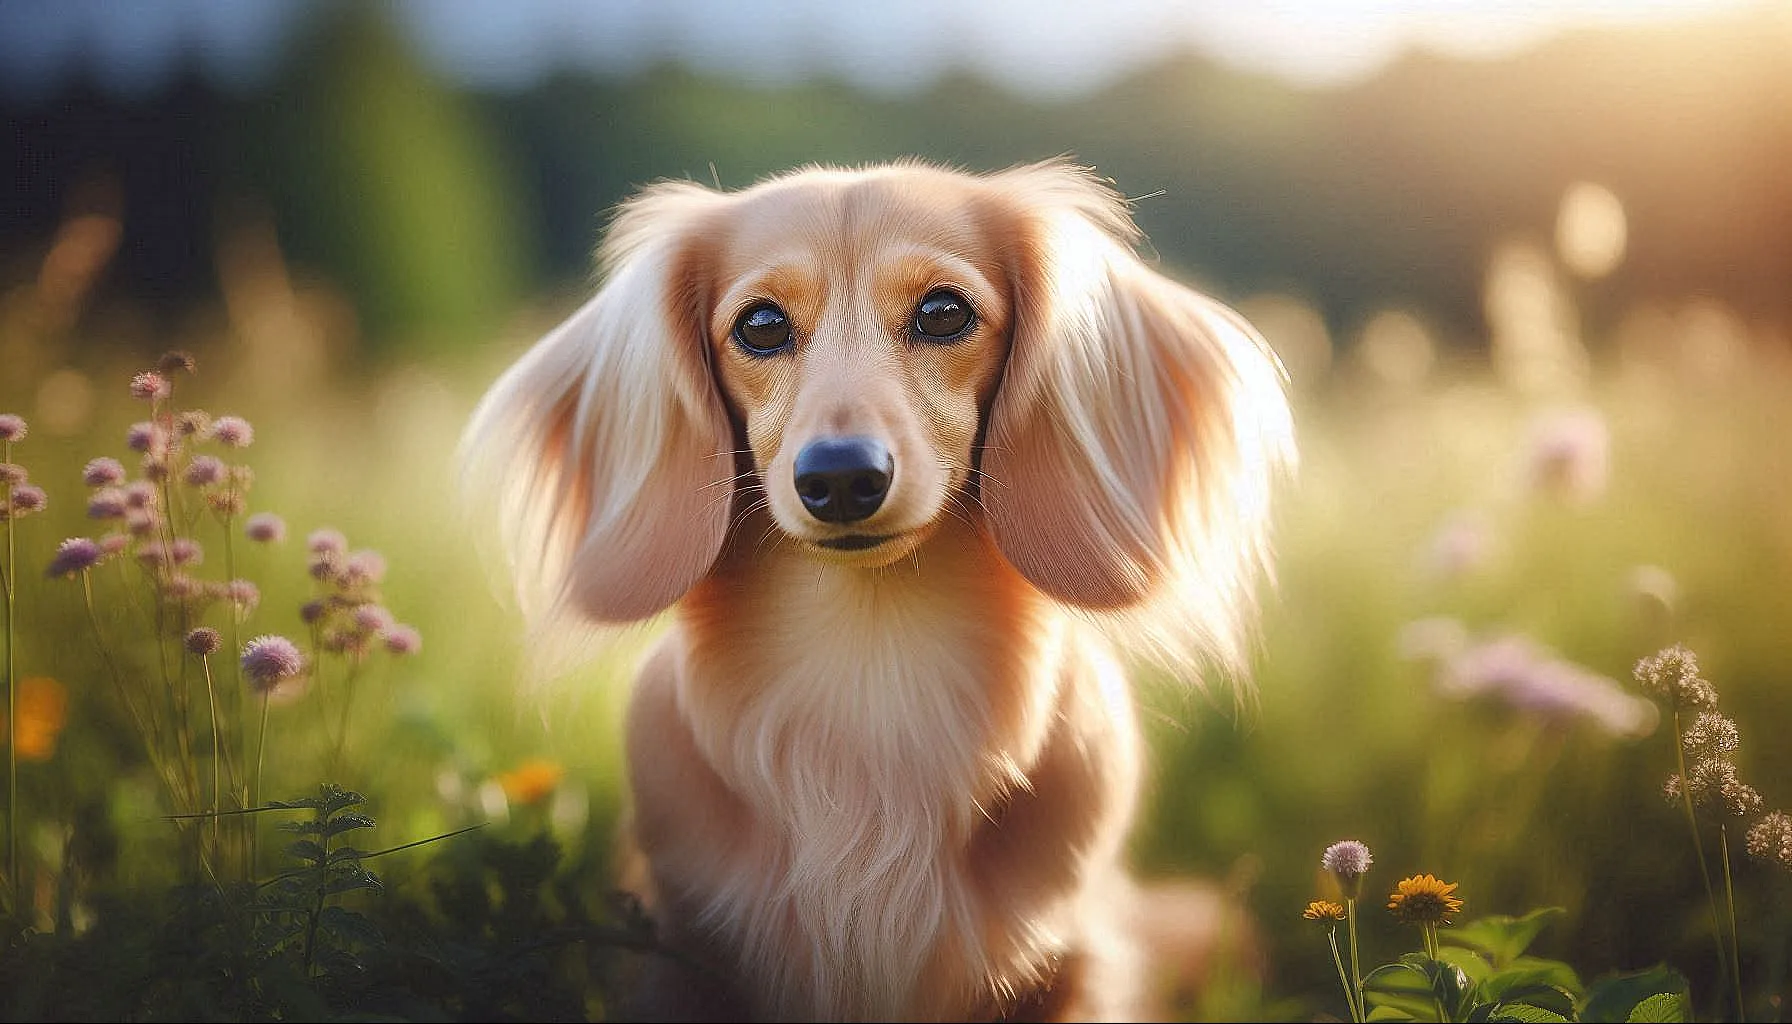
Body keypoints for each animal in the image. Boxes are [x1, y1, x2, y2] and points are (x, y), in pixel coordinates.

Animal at [469, 160, 1297, 1024]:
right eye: (760, 325)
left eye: (943, 311)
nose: (839, 477)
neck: (873, 671)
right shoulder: (682, 955)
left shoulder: (1071, 965)